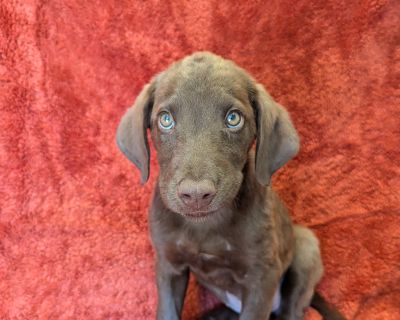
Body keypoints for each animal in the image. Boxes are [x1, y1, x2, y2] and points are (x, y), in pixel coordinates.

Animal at [115, 52, 344, 320]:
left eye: (233, 118)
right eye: (165, 119)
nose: (196, 194)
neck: (205, 226)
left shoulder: (261, 276)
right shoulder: (168, 264)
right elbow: (167, 312)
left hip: (306, 246)